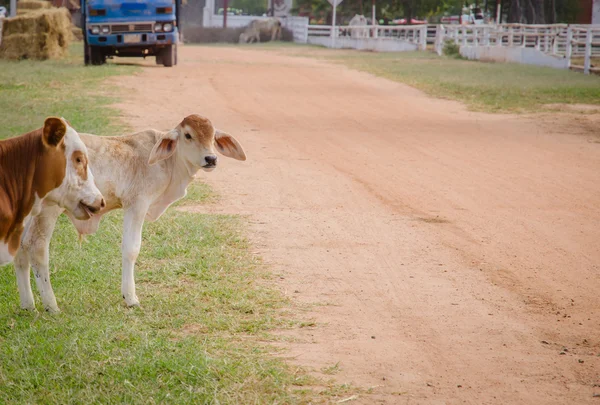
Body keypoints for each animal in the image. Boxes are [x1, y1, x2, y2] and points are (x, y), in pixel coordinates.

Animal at [15, 115, 246, 310]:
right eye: (188, 135)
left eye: (213, 137)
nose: (211, 159)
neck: (168, 163)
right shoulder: (137, 204)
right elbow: (131, 249)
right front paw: (130, 298)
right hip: (49, 210)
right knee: (36, 247)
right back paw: (51, 305)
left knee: (21, 249)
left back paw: (28, 305)